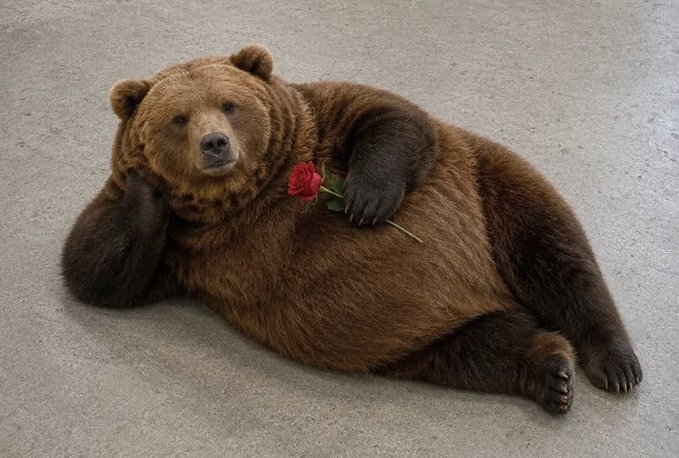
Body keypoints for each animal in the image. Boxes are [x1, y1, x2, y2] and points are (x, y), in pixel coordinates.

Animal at [61, 44, 642, 414]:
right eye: (179, 118)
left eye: (230, 104)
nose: (216, 144)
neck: (245, 197)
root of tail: (488, 289)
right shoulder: (183, 250)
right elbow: (93, 269)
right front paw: (147, 181)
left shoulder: (318, 120)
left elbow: (392, 116)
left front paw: (366, 200)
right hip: (413, 334)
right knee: (484, 347)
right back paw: (552, 373)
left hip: (489, 186)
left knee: (557, 254)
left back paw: (616, 363)